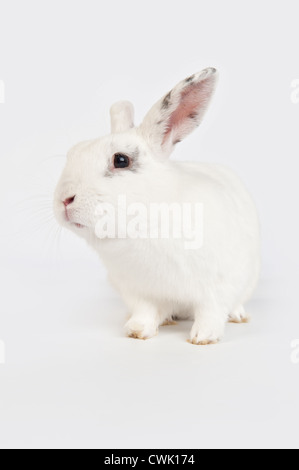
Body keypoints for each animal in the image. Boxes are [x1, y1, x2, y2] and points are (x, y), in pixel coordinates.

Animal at [55, 67, 262, 346]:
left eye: (121, 160)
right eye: (72, 153)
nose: (64, 199)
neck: (146, 225)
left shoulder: (218, 285)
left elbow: (211, 311)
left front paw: (203, 338)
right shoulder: (137, 291)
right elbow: (145, 311)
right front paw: (137, 331)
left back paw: (238, 316)